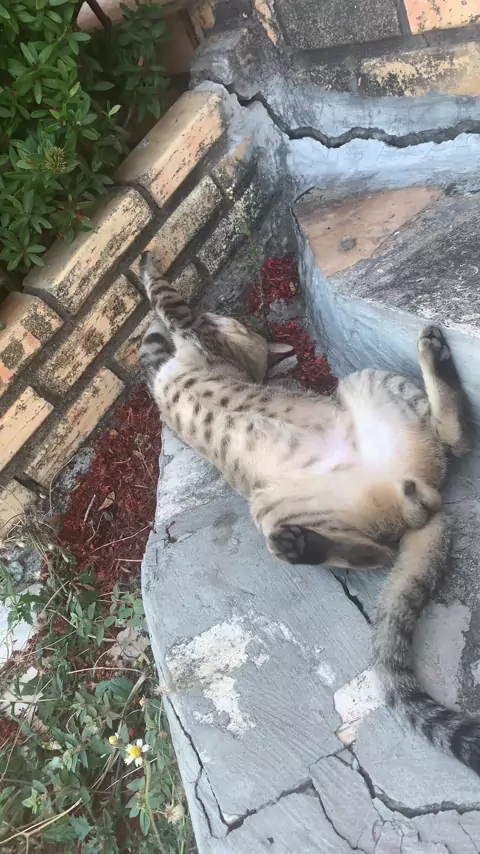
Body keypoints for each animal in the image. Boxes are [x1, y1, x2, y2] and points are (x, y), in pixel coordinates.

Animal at [139, 251, 479, 774]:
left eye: (239, 322)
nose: (230, 316)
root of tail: (412, 497)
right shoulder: (170, 361)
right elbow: (155, 337)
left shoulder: (196, 341)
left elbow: (168, 308)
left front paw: (147, 271)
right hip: (272, 505)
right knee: (376, 550)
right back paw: (301, 543)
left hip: (368, 388)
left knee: (454, 443)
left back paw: (434, 356)